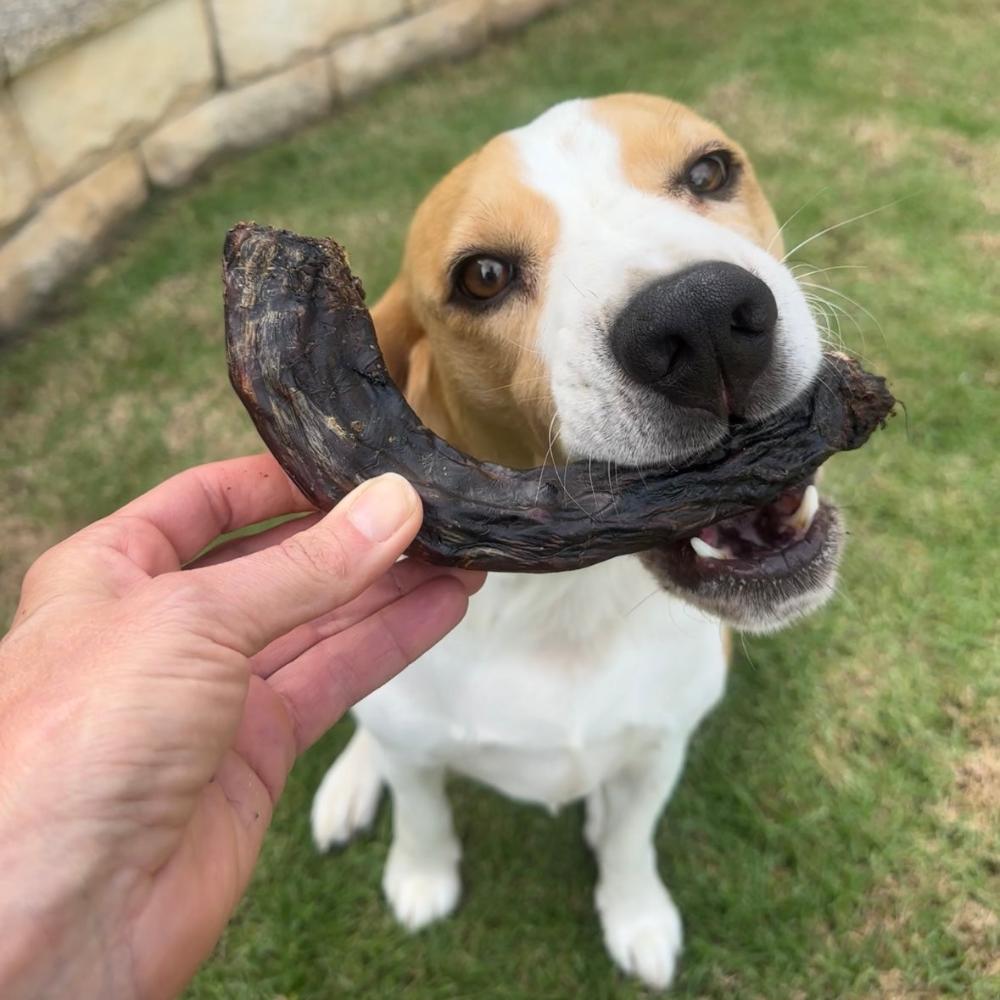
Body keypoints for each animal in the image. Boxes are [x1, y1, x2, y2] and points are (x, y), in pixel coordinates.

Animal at [310, 95, 836, 992]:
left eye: (709, 171)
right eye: (483, 276)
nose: (700, 319)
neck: (563, 601)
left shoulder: (661, 745)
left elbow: (629, 840)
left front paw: (635, 912)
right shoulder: (413, 747)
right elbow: (421, 809)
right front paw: (421, 875)